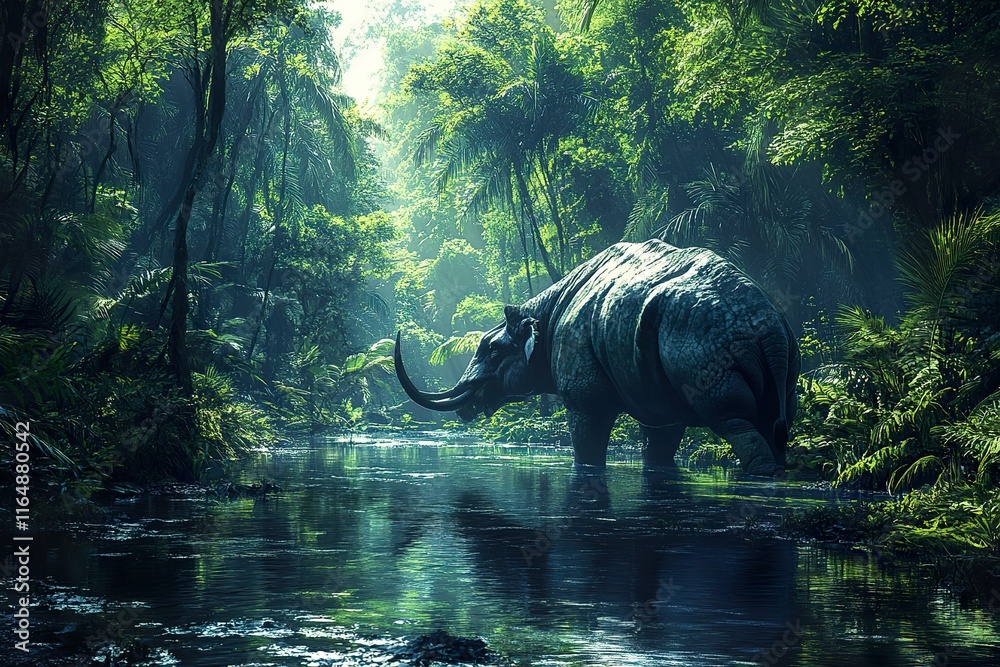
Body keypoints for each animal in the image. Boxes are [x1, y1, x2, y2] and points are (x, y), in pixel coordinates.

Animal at [395, 240, 800, 476]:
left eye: (493, 350)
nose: (466, 407)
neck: (540, 320)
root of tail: (769, 328)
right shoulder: (655, 396)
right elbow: (660, 447)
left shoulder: (585, 398)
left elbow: (587, 447)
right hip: (771, 346)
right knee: (773, 418)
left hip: (702, 337)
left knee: (728, 417)